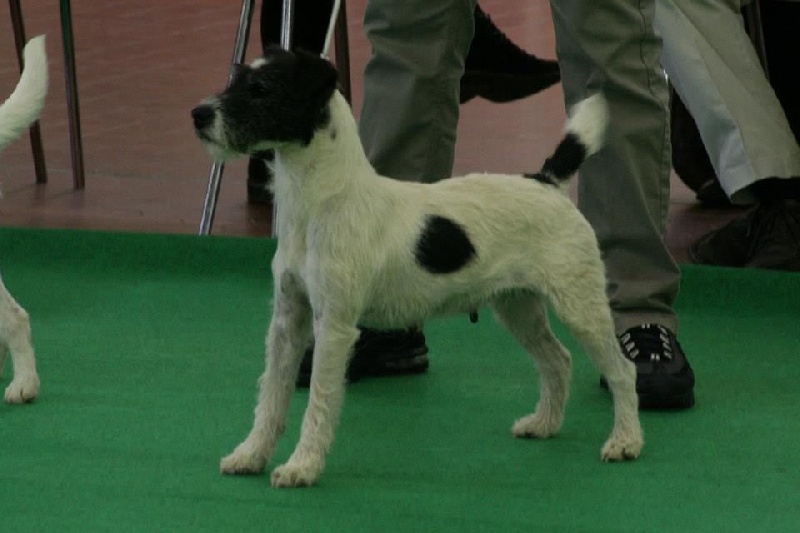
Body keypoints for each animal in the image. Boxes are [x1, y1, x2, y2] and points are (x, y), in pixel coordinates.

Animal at [192, 47, 643, 488]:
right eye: (236, 79)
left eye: (262, 89)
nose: (198, 114)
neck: (322, 199)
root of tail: (546, 180)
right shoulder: (288, 320)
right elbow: (271, 395)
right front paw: (251, 454)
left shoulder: (333, 325)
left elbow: (319, 399)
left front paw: (302, 466)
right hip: (518, 308)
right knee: (558, 360)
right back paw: (544, 424)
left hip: (580, 306)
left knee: (622, 370)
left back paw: (625, 441)